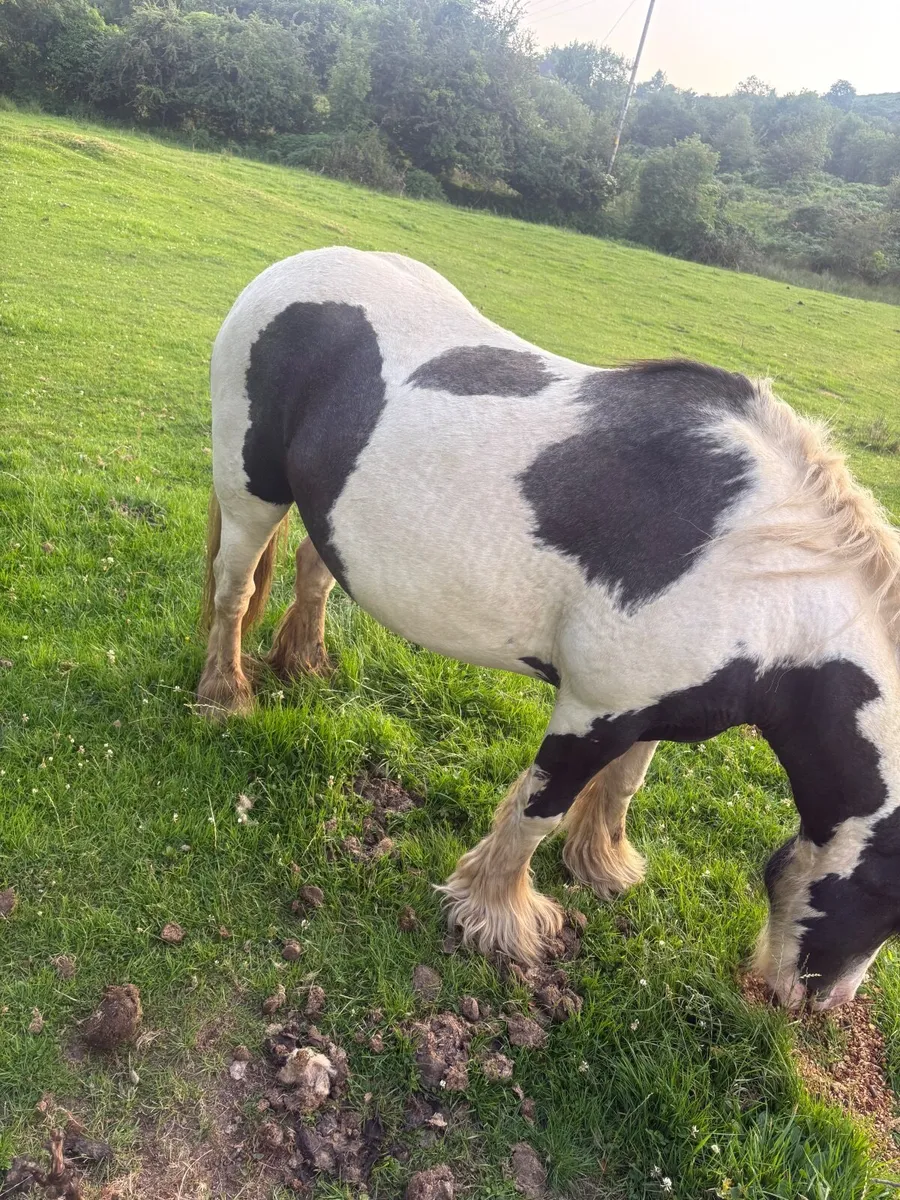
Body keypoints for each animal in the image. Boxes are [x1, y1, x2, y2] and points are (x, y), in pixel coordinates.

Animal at [198, 246, 900, 1011]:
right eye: (889, 900)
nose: (818, 1003)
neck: (759, 581)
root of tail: (287, 270)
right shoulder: (591, 711)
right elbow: (540, 809)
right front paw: (497, 916)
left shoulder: (651, 710)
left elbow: (622, 786)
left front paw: (603, 864)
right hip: (251, 491)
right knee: (233, 592)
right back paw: (225, 695)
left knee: (313, 568)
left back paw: (304, 663)